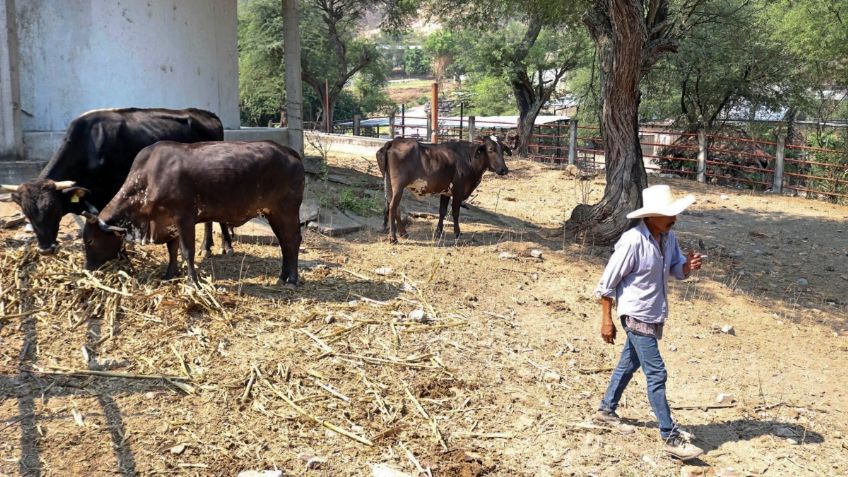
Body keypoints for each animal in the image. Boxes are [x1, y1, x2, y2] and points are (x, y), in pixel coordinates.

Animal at [82, 139, 304, 284]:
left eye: (90, 241)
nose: (87, 269)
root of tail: (290, 152)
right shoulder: (167, 223)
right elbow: (172, 251)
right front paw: (169, 275)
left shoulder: (184, 218)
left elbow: (187, 251)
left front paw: (192, 282)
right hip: (273, 213)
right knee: (285, 243)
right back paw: (282, 277)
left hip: (286, 211)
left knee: (292, 241)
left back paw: (292, 279)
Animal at [378, 137, 510, 242]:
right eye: (491, 150)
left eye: (503, 150)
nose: (504, 170)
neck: (469, 158)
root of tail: (393, 141)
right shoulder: (458, 191)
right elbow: (455, 213)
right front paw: (457, 233)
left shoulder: (445, 192)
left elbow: (442, 211)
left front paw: (438, 232)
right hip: (398, 186)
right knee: (393, 207)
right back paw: (393, 237)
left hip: (389, 184)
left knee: (394, 207)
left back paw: (403, 233)